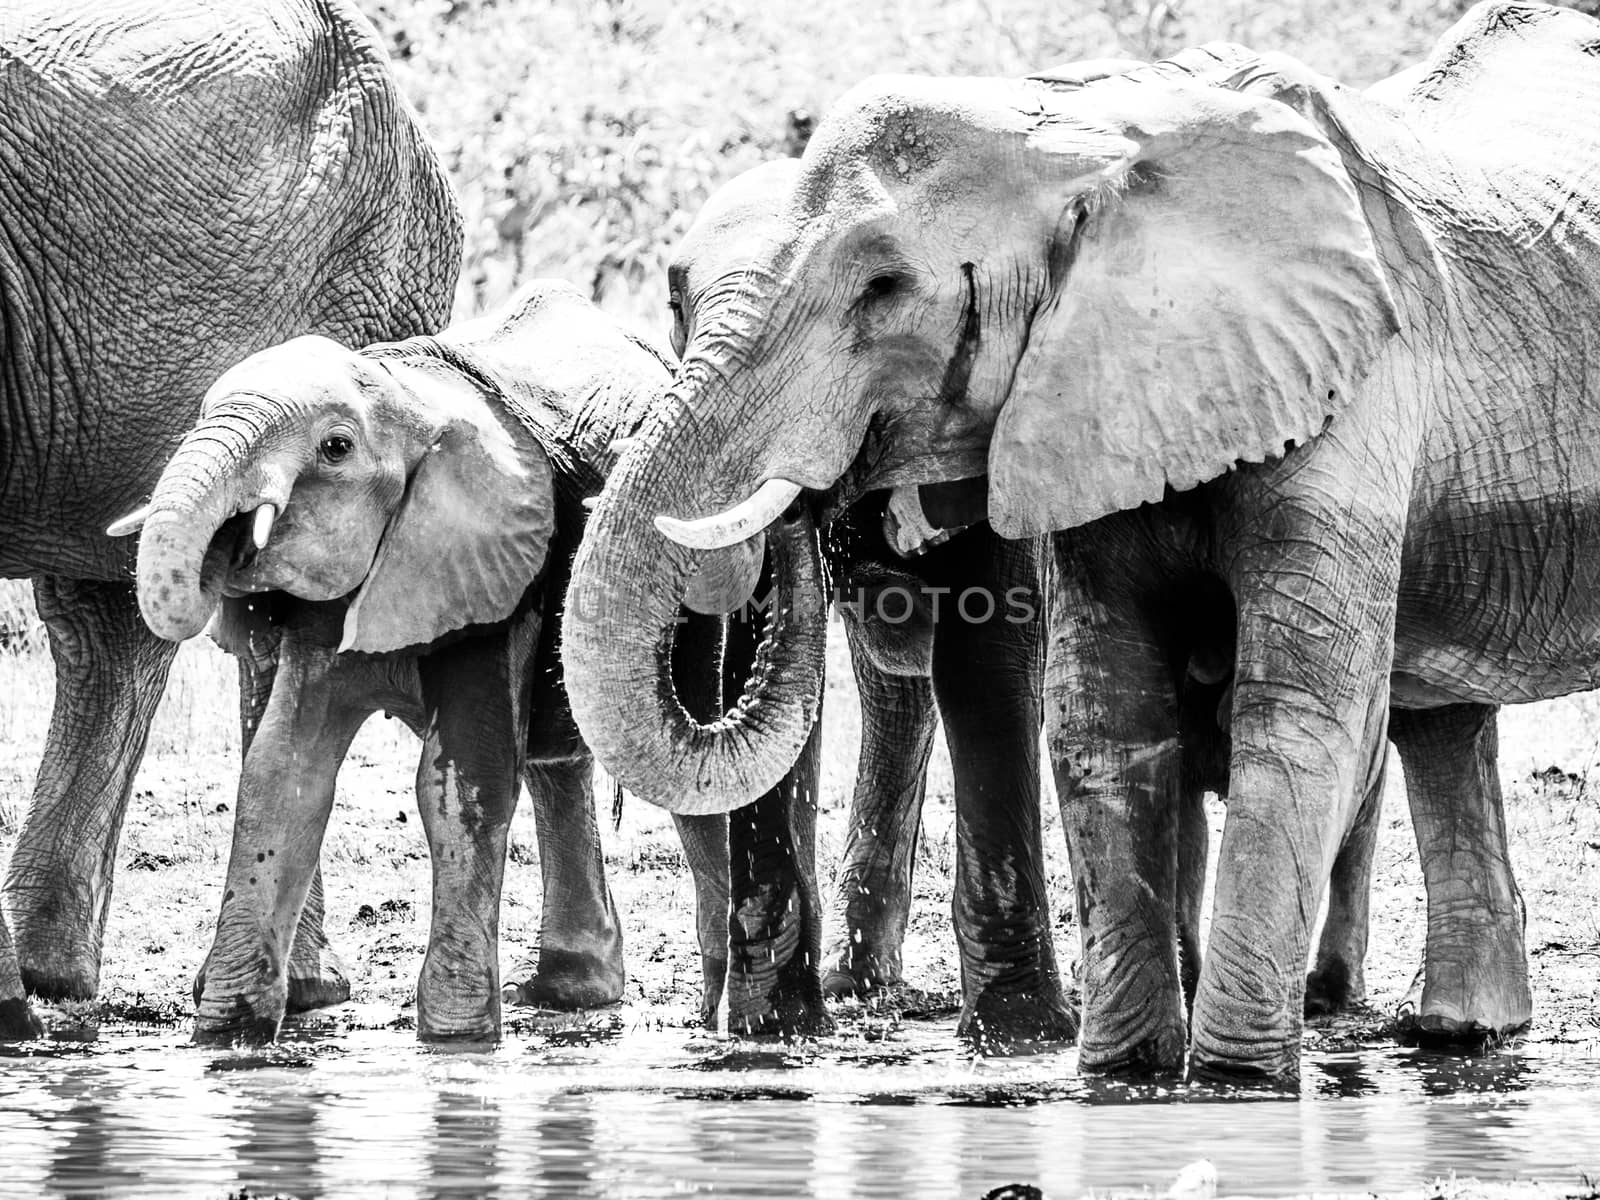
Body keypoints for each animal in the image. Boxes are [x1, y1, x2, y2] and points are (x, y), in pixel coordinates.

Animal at [116, 281, 704, 1043]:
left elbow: (463, 778)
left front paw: (455, 1039)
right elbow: (284, 769)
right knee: (556, 763)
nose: (232, 545)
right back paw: (569, 993)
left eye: (335, 448)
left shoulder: (496, 572)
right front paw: (227, 1035)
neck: (413, 396)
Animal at [569, 0, 1593, 1088]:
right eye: (673, 302)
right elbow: (1103, 705)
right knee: (1442, 720)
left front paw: (1224, 1085)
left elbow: (1286, 709)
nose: (806, 498)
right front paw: (1120, 1077)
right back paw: (1459, 1033)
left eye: (882, 288)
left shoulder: (1352, 375)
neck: (1078, 142)